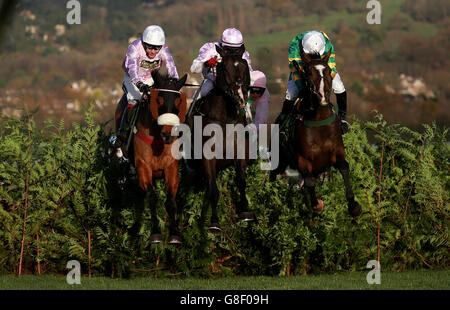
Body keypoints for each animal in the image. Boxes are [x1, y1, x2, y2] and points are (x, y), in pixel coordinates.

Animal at [134, 70, 189, 242]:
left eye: (178, 100)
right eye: (158, 99)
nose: (168, 133)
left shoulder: (171, 166)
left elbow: (171, 201)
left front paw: (175, 234)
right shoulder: (143, 166)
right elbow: (152, 198)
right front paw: (155, 233)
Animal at [186, 44, 255, 232]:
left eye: (244, 65)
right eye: (224, 67)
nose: (240, 97)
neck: (225, 119)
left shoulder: (239, 153)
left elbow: (241, 181)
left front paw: (245, 212)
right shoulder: (208, 159)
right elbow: (213, 190)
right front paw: (215, 222)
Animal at [270, 50, 362, 218]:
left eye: (328, 70)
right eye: (308, 72)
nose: (322, 96)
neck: (320, 122)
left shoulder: (336, 153)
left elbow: (344, 168)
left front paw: (353, 206)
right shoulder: (303, 159)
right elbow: (309, 181)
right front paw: (317, 204)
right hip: (280, 161)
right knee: (274, 176)